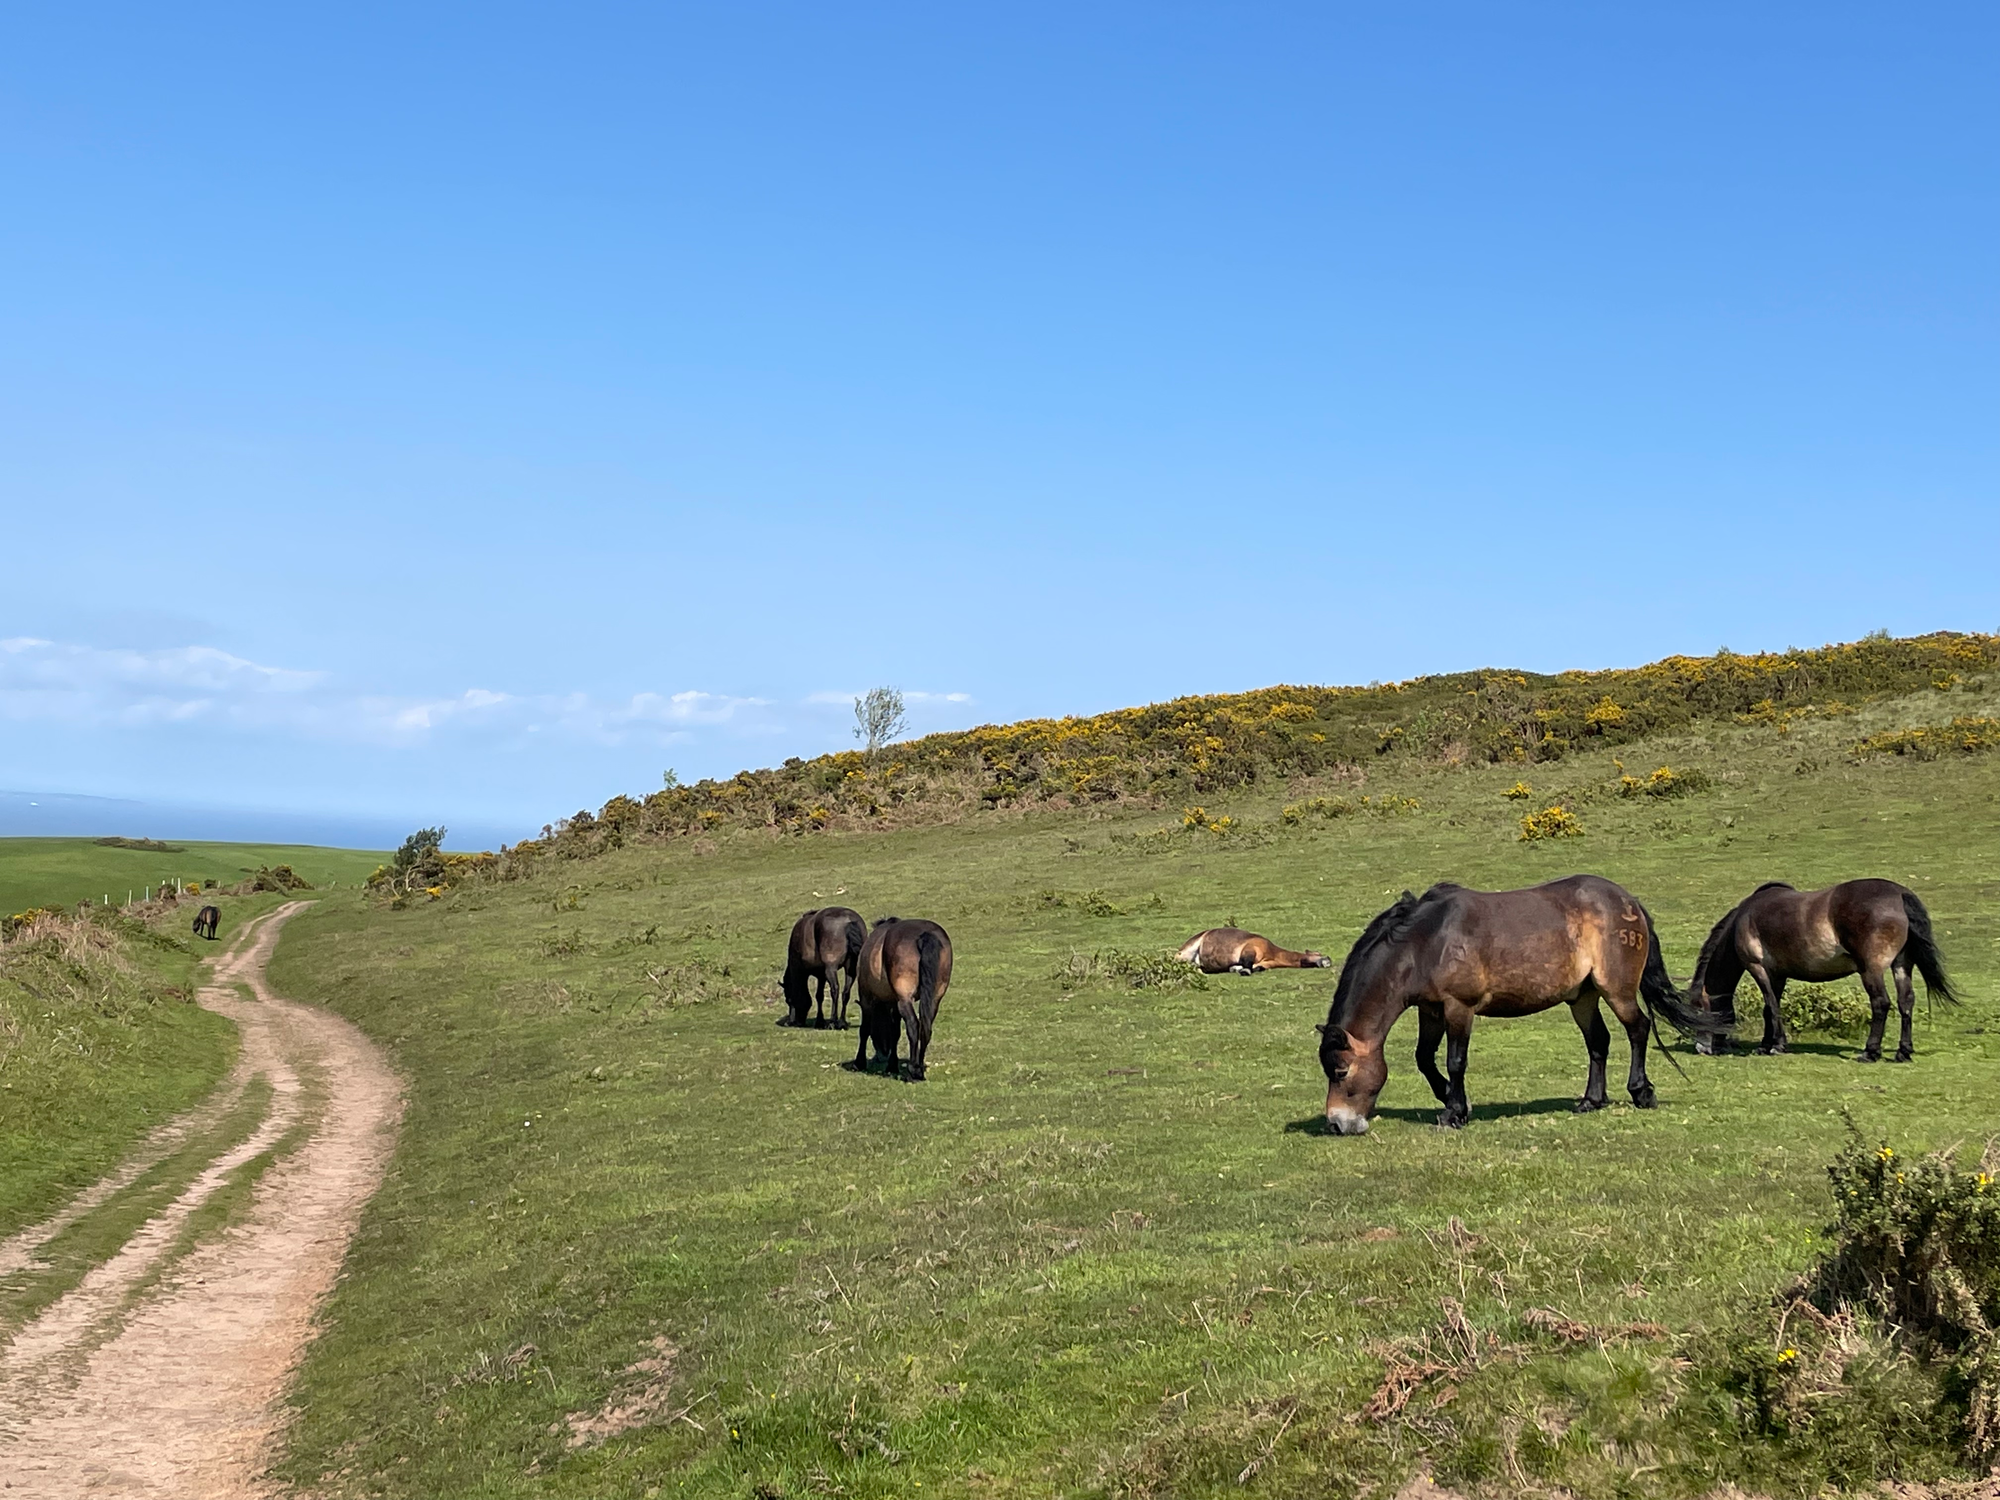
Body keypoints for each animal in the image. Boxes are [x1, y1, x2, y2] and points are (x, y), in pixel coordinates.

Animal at [852, 924, 952, 1088]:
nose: (882, 1053)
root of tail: (925, 935)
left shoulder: (866, 997)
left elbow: (865, 1029)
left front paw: (859, 1063)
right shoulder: (894, 1002)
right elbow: (895, 1032)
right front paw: (892, 1065)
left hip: (905, 999)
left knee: (913, 1025)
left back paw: (913, 1071)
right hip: (934, 998)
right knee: (926, 1028)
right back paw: (920, 1069)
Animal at [1168, 928, 1328, 976]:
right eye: (1318, 953)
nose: (1327, 960)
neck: (1272, 953)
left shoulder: (1263, 964)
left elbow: (1255, 968)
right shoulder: (1250, 950)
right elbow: (1247, 965)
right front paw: (1243, 971)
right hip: (1185, 953)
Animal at [1688, 880, 1952, 1072]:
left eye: (1698, 1009)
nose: (1702, 1048)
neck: (1743, 920)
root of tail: (1899, 894)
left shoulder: (1758, 967)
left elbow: (1771, 1006)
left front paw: (1777, 1046)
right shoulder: (1777, 975)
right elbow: (1769, 1008)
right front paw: (1765, 1045)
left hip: (1871, 970)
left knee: (1881, 1003)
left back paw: (1870, 1052)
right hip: (1902, 965)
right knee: (1905, 1001)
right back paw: (1903, 1052)